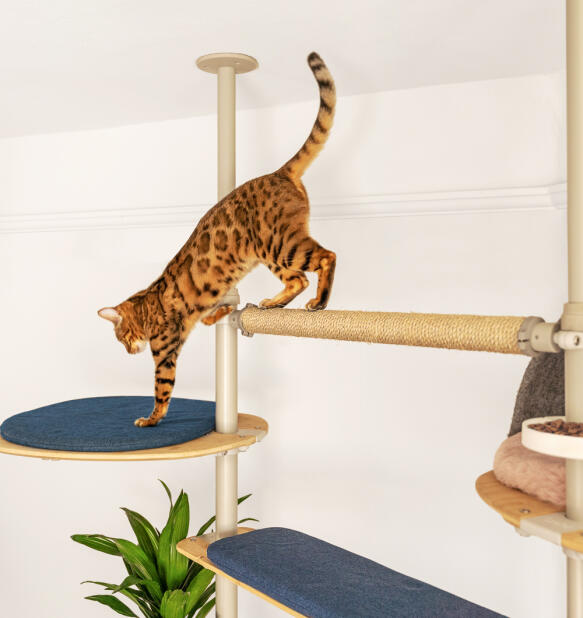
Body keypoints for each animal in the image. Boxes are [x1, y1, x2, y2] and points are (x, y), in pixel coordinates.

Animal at [99, 51, 338, 424]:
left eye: (121, 335)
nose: (127, 351)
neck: (149, 302)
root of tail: (278, 172)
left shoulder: (165, 350)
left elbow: (161, 389)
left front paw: (151, 420)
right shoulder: (213, 296)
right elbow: (220, 308)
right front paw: (220, 314)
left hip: (279, 244)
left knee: (323, 260)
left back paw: (317, 302)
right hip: (272, 250)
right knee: (298, 277)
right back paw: (272, 303)